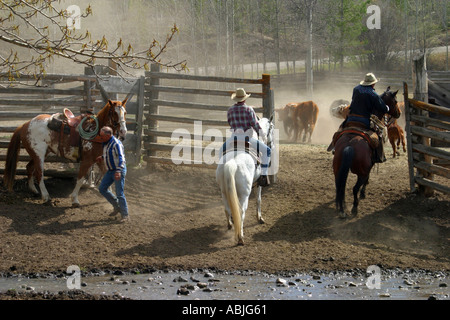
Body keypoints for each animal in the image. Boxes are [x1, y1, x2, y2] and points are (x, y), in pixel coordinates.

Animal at [215, 117, 274, 245]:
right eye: (272, 128)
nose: (271, 144)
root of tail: (232, 163)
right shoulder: (258, 184)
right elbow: (258, 200)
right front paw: (260, 218)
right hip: (244, 195)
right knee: (241, 211)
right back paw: (240, 237)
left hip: (224, 192)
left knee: (227, 208)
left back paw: (230, 224)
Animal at [334, 87, 400, 218]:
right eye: (395, 101)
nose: (399, 113)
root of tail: (349, 146)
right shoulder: (371, 164)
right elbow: (368, 178)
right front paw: (363, 193)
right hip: (361, 173)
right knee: (355, 188)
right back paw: (354, 208)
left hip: (337, 169)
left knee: (339, 187)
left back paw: (341, 209)